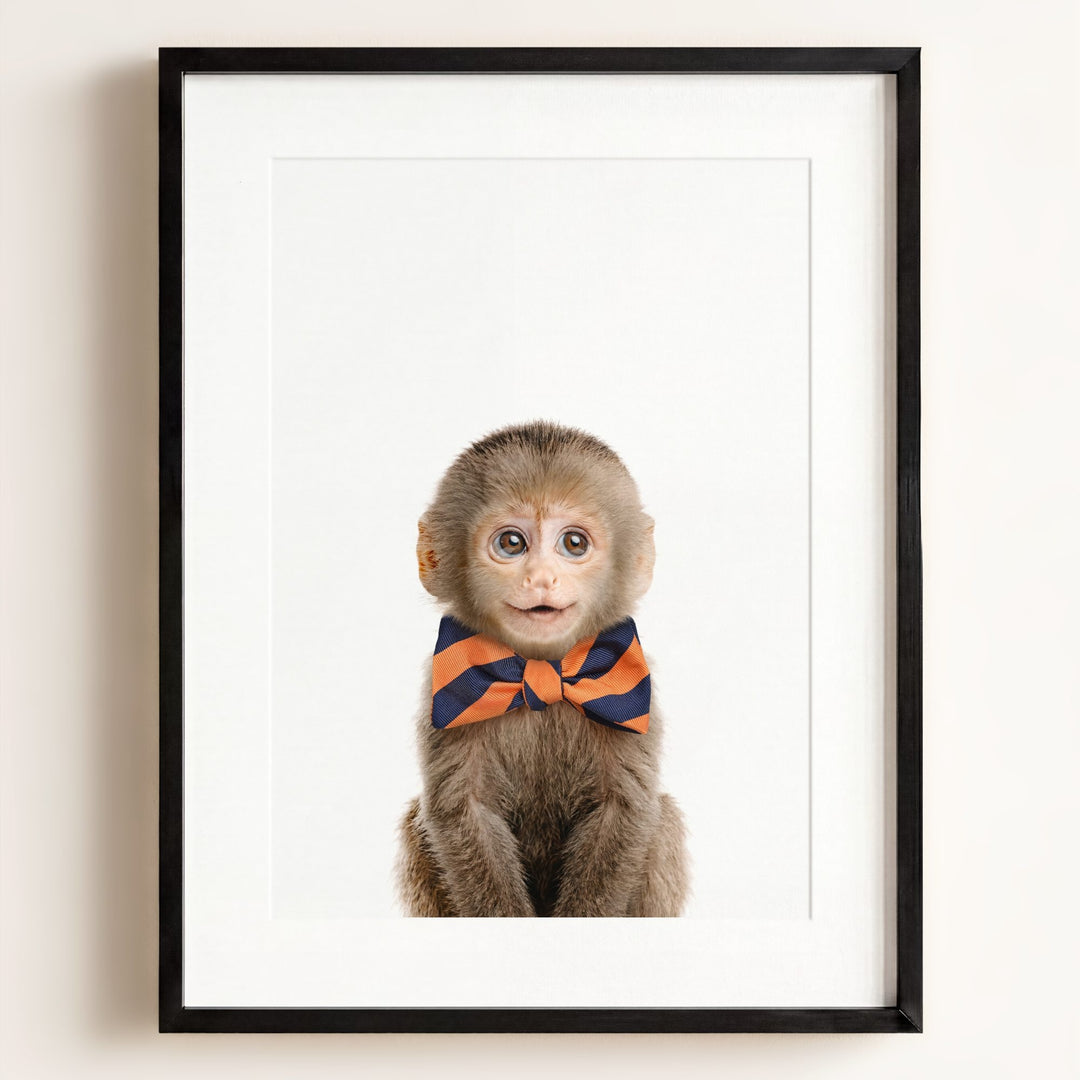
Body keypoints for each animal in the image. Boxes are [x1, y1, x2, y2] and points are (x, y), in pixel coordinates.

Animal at [396, 421, 688, 917]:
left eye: (574, 543)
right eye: (511, 543)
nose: (540, 579)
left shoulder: (633, 686)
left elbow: (624, 810)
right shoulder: (444, 691)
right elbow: (464, 812)